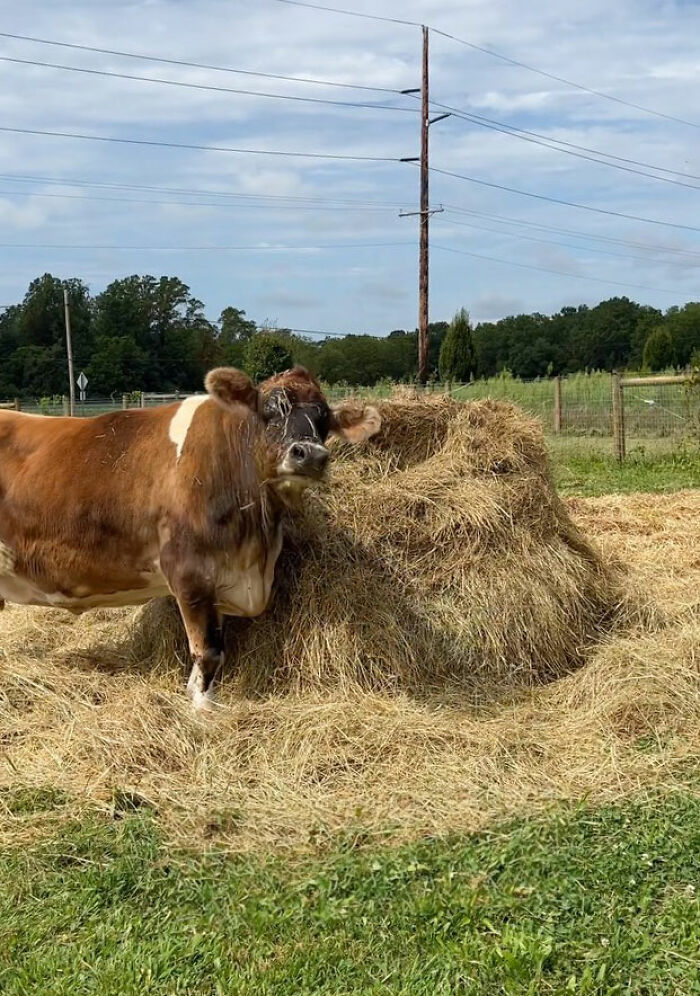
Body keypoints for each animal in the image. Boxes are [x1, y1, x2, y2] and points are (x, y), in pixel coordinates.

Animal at [0, 366, 380, 708]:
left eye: (324, 419)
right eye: (268, 410)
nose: (310, 455)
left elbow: (218, 647)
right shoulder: (188, 572)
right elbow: (208, 652)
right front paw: (200, 711)